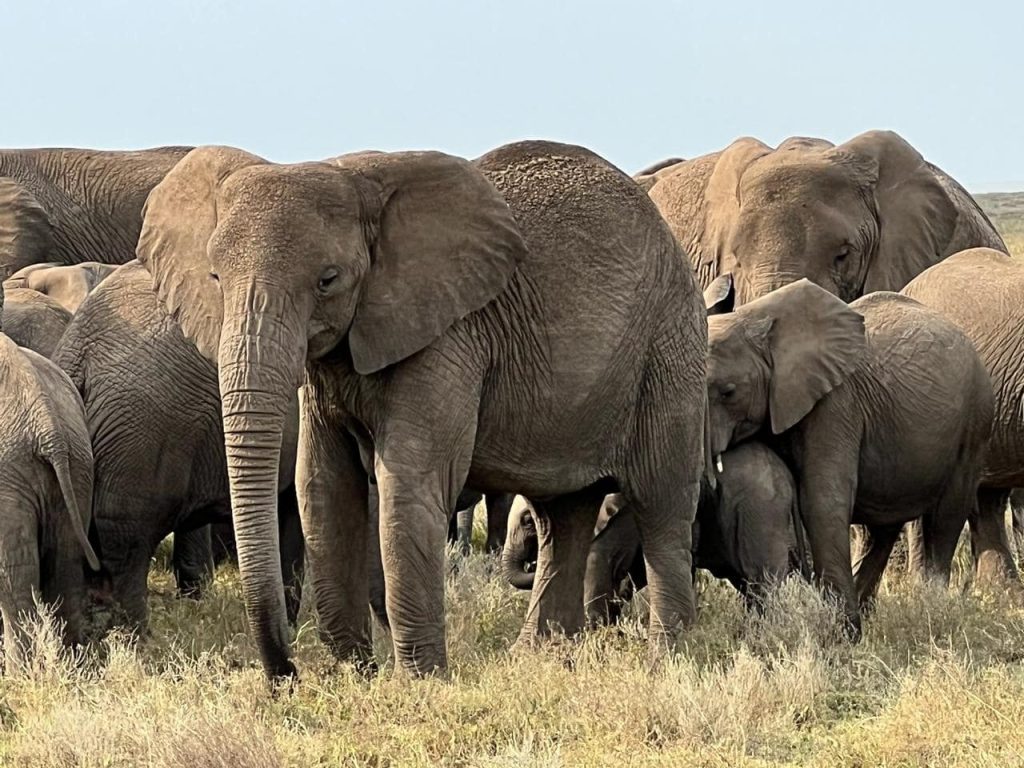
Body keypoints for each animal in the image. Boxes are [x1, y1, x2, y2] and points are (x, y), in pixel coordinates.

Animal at [0, 332, 100, 666]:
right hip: (78, 464)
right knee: (66, 567)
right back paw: (74, 666)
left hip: (10, 473)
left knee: (16, 580)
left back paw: (23, 673)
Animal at [134, 140, 708, 679]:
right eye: (214, 278)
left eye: (328, 280)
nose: (289, 674)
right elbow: (323, 487)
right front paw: (353, 676)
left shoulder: (448, 334)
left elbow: (409, 483)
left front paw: (418, 681)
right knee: (560, 515)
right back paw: (539, 658)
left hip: (670, 345)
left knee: (661, 503)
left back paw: (667, 660)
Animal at [503, 441, 807, 622]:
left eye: (527, 520)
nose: (532, 562)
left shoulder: (624, 515)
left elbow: (598, 561)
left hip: (760, 514)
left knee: (762, 583)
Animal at [705, 277, 993, 638]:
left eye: (728, 392)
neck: (755, 319)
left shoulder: (835, 404)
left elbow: (821, 500)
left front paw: (840, 636)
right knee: (880, 530)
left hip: (974, 422)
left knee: (945, 517)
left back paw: (930, 611)